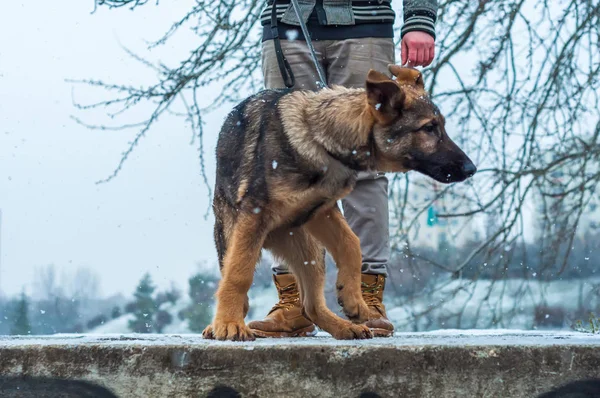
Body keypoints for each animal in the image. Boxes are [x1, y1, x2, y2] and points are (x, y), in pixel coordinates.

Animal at [204, 66, 476, 342]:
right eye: (429, 128)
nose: (471, 169)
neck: (320, 137)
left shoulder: (321, 212)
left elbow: (352, 244)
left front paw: (353, 298)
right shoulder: (254, 216)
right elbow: (239, 273)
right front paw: (229, 324)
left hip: (309, 250)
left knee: (310, 305)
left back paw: (343, 326)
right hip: (233, 234)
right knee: (238, 275)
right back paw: (219, 323)